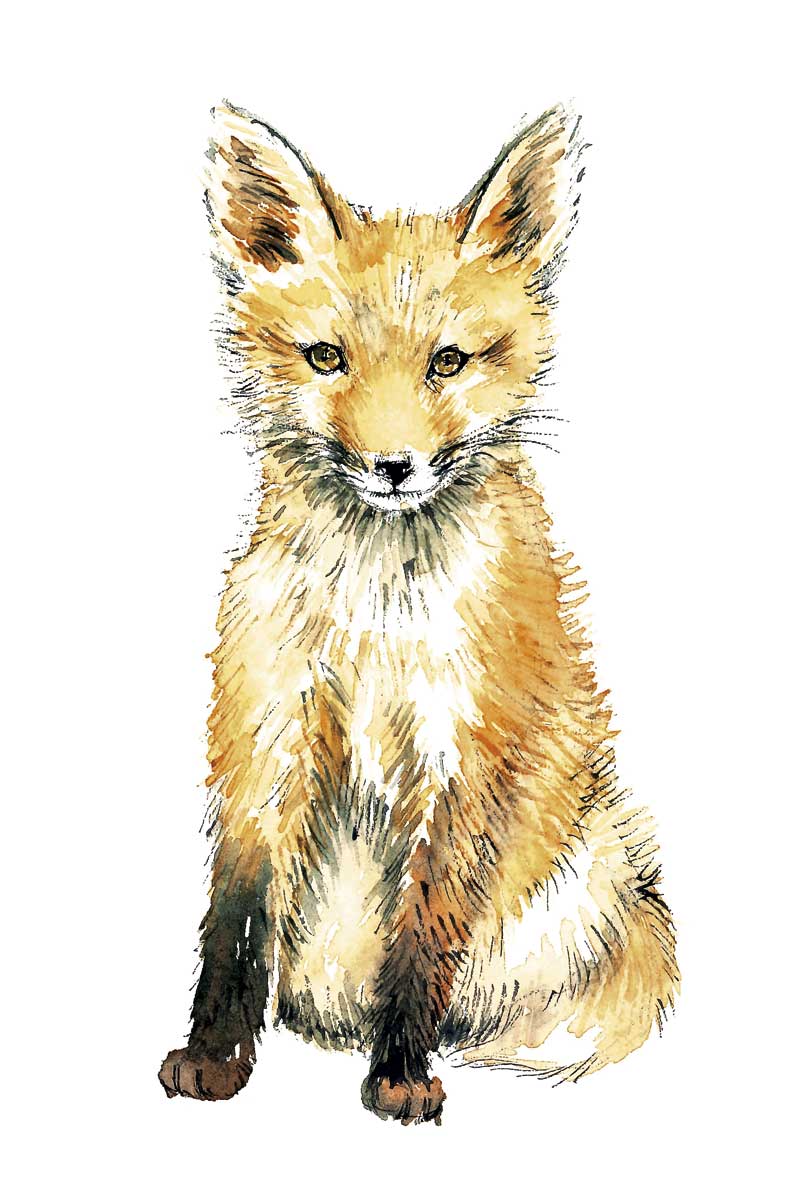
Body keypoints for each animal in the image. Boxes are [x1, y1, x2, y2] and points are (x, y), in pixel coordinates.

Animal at [158, 100, 679, 1124]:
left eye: (448, 362)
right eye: (326, 358)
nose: (394, 467)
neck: (376, 622)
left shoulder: (465, 752)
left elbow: (424, 933)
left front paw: (399, 1075)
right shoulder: (264, 733)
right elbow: (236, 923)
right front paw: (213, 1059)